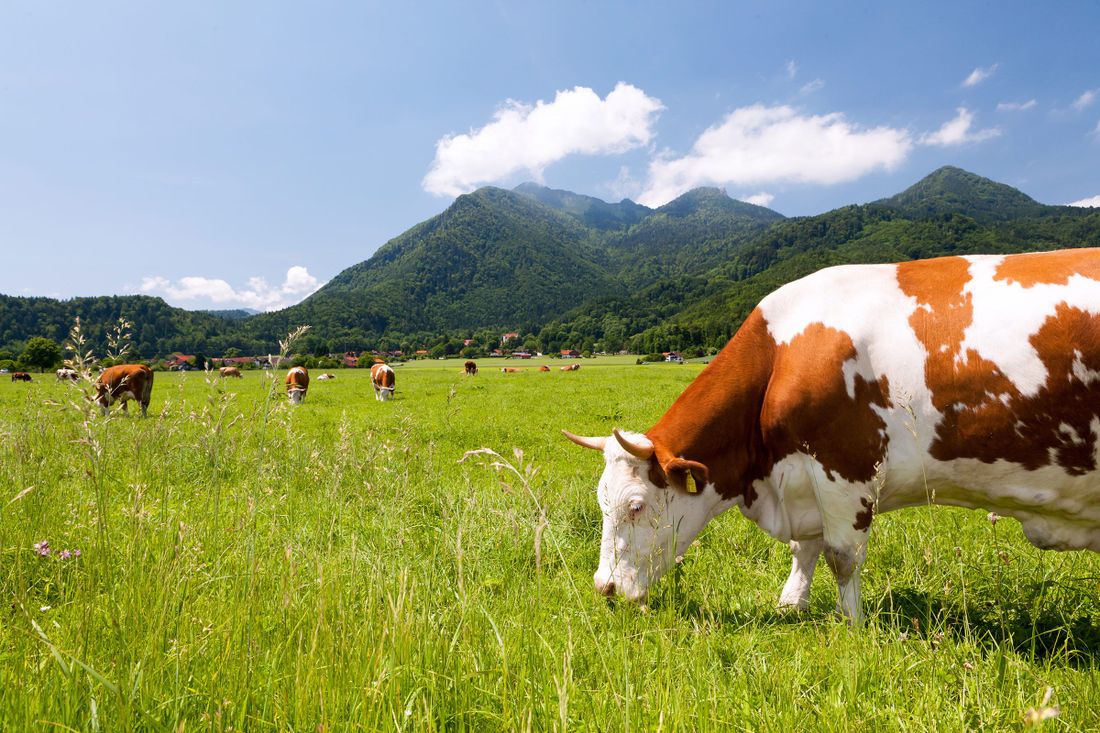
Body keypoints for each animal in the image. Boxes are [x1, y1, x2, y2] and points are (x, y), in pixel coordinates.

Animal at [564, 248, 1100, 624]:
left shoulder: (845, 468)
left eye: (637, 506)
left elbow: (842, 556)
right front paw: (790, 606)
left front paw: (853, 623)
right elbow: (805, 549)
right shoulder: (804, 479)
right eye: (600, 502)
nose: (603, 588)